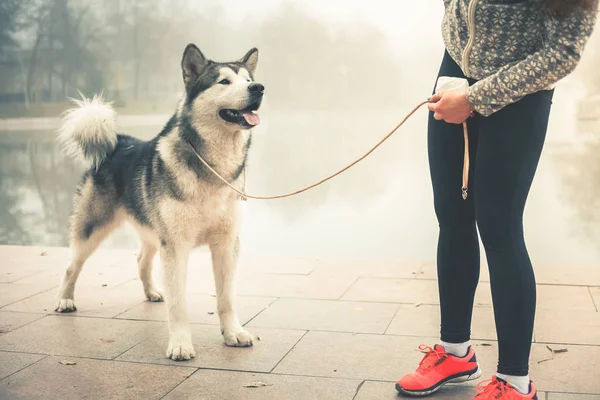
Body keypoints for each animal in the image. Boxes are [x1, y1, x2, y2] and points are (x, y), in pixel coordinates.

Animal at [53, 43, 262, 360]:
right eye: (224, 82)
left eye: (248, 79)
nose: (258, 88)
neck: (213, 168)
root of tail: (118, 142)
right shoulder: (175, 246)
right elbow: (179, 304)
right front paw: (180, 343)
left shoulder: (226, 243)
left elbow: (226, 297)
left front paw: (232, 333)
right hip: (93, 228)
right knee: (71, 265)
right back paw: (65, 300)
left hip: (152, 231)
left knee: (142, 259)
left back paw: (151, 292)